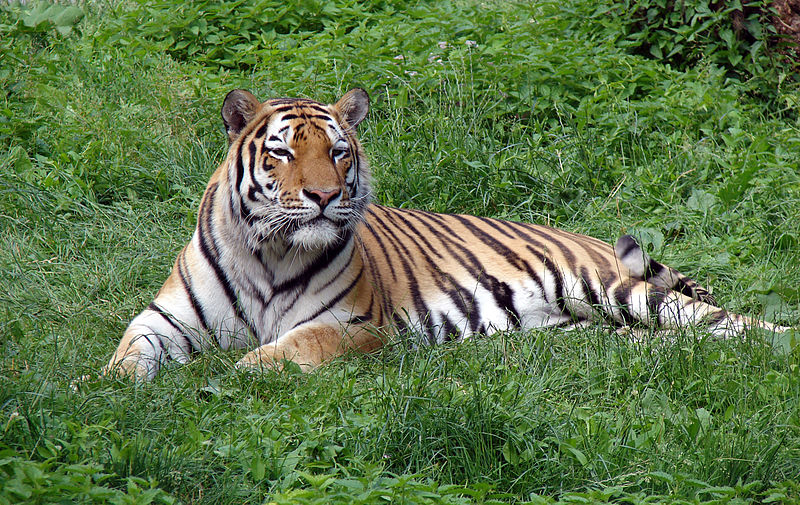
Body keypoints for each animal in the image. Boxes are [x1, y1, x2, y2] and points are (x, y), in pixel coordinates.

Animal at [103, 87, 792, 378]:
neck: (271, 253)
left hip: (626, 291)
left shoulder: (352, 324)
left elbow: (283, 350)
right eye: (282, 152)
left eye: (338, 152)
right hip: (594, 332)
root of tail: (587, 238)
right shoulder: (164, 318)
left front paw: (236, 372)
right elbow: (128, 354)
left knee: (734, 323)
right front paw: (108, 389)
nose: (324, 197)